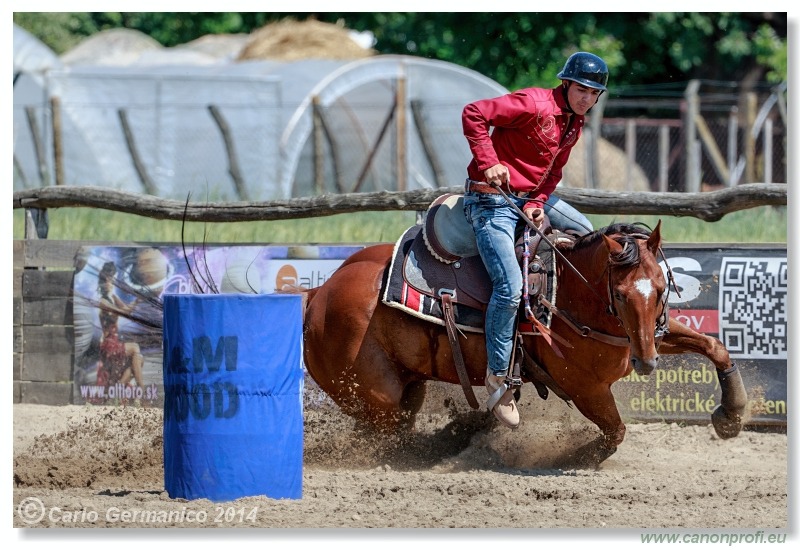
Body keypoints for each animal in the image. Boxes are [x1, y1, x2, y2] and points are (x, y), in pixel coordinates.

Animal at [302, 221, 752, 466]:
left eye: (660, 288)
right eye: (621, 294)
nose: (645, 364)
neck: (568, 295)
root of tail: (319, 294)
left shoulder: (644, 338)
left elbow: (714, 347)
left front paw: (731, 415)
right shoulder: (585, 389)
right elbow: (616, 431)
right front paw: (576, 456)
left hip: (404, 389)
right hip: (377, 396)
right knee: (385, 440)